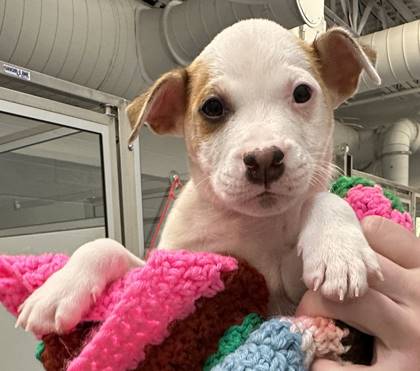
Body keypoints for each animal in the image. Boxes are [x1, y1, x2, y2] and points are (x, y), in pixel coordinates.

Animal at [17, 18, 384, 336]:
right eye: (212, 107)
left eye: (303, 94)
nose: (264, 159)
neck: (256, 225)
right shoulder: (162, 269)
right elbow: (105, 245)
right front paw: (59, 289)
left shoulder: (291, 294)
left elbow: (324, 198)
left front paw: (339, 251)